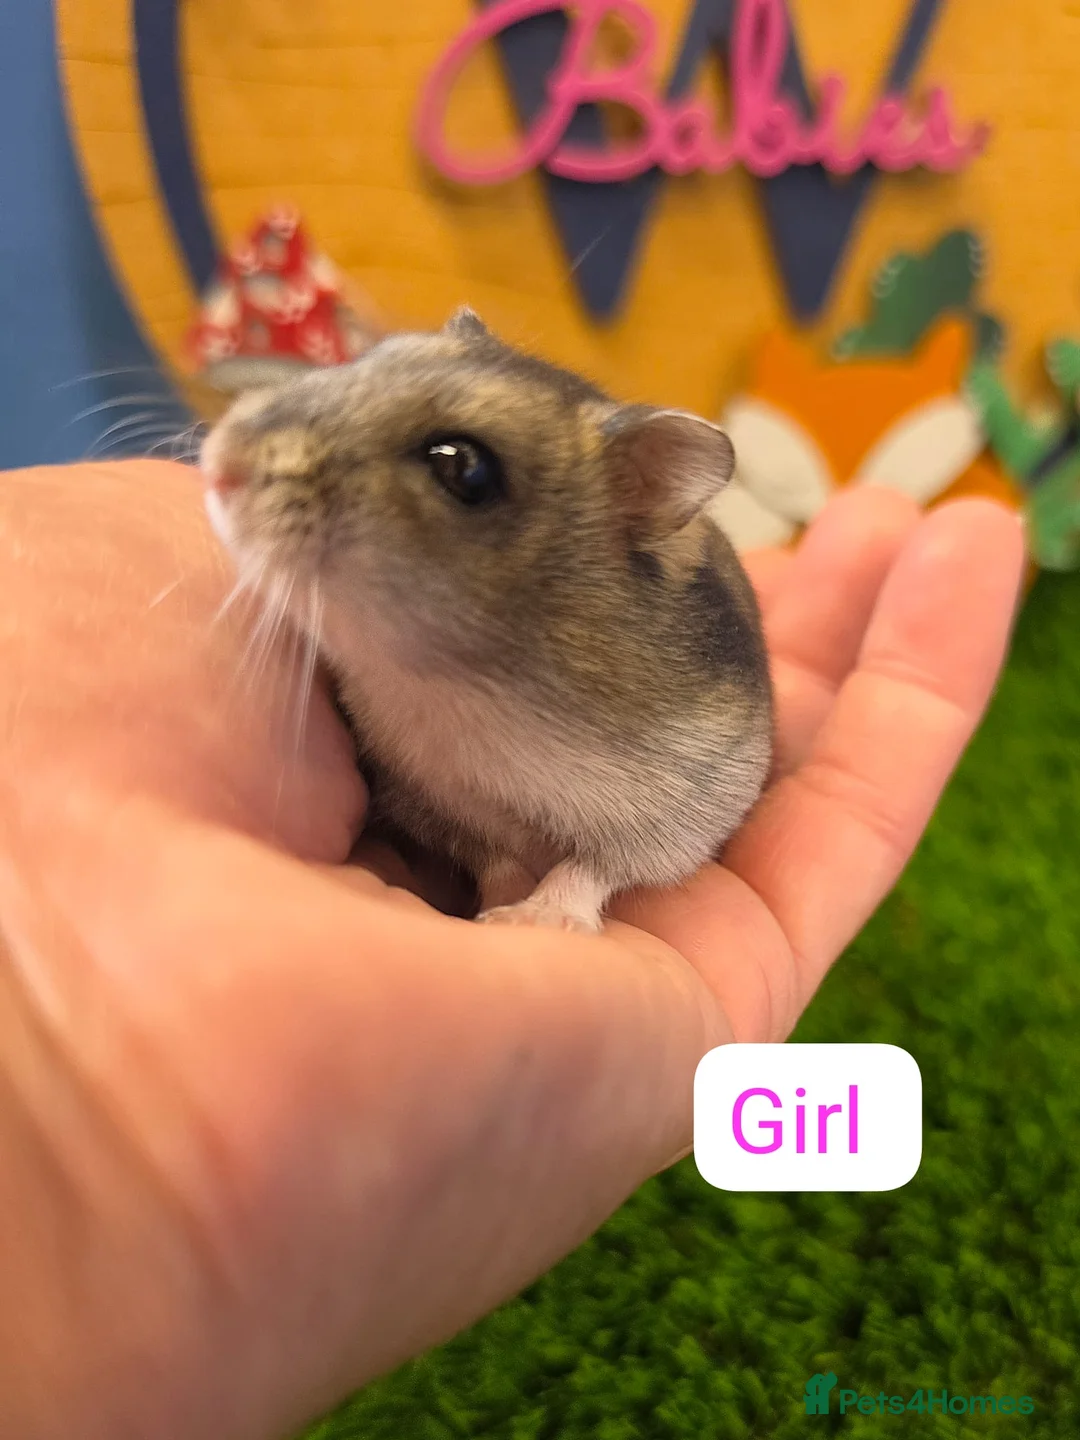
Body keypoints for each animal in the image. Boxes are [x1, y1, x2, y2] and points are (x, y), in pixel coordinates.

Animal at [200, 308, 773, 933]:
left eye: (465, 467)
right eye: (370, 358)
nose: (217, 460)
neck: (464, 680)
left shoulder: (683, 812)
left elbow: (594, 867)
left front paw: (534, 920)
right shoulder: (424, 800)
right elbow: (493, 854)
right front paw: (495, 910)